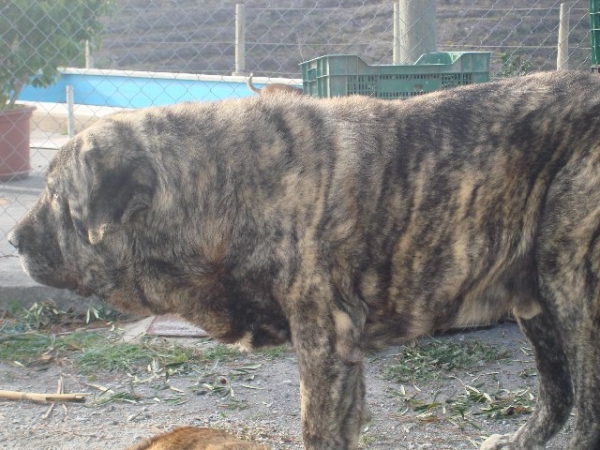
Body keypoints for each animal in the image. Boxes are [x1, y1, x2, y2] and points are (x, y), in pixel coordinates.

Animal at [10, 72, 600, 448]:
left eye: (57, 196)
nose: (13, 239)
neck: (221, 189)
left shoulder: (324, 342)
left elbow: (317, 432)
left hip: (570, 284)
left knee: (586, 411)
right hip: (534, 302)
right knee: (558, 395)